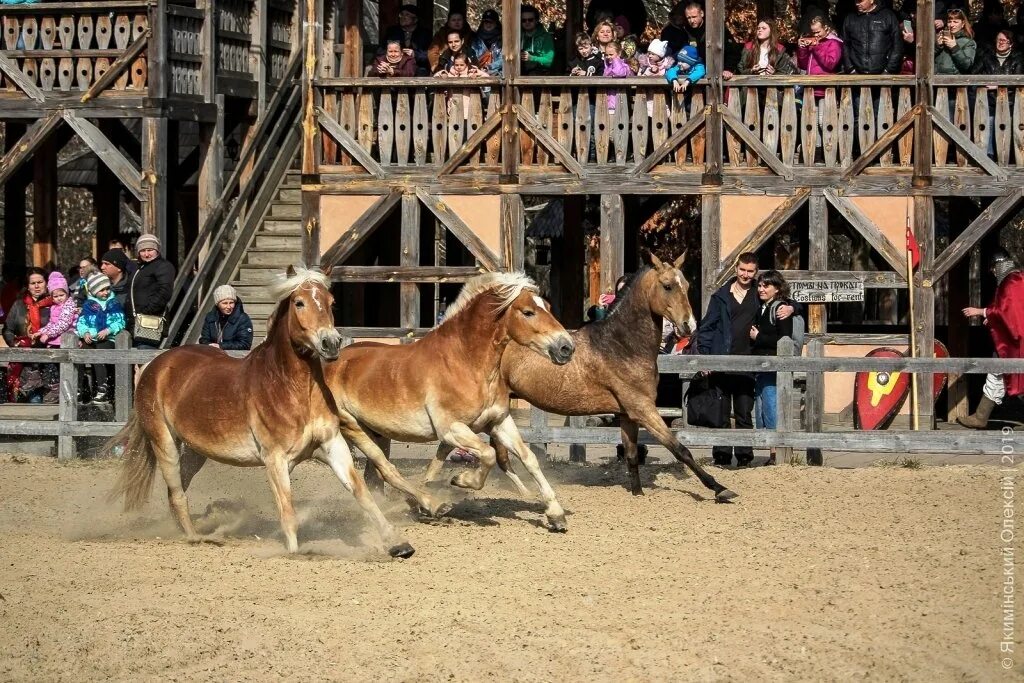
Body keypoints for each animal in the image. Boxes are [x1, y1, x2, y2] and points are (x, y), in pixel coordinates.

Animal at [109, 264, 419, 557]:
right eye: (299, 302)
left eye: (331, 302)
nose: (330, 343)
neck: (292, 389)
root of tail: (154, 366)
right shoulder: (275, 459)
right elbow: (288, 512)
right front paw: (296, 553)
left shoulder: (332, 444)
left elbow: (362, 492)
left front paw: (398, 544)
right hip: (164, 443)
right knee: (176, 493)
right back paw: (196, 537)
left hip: (197, 450)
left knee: (179, 488)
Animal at [325, 270, 577, 532]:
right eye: (528, 312)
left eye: (548, 307)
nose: (566, 347)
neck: (465, 362)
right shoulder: (451, 429)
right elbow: (488, 454)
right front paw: (461, 480)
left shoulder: (499, 422)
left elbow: (529, 459)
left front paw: (556, 515)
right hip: (352, 427)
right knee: (386, 469)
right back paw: (433, 506)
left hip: (378, 431)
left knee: (378, 475)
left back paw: (420, 506)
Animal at [487, 255, 737, 501]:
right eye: (667, 286)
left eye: (686, 285)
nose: (689, 326)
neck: (621, 346)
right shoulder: (643, 409)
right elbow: (680, 449)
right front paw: (720, 489)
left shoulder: (627, 414)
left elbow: (632, 455)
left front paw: (638, 494)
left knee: (500, 455)